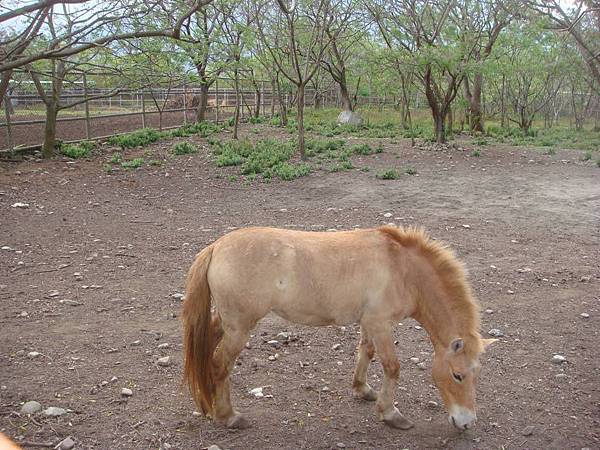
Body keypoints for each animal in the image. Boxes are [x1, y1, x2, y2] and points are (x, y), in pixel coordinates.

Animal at [182, 227, 492, 430]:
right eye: (458, 375)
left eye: (476, 375)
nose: (466, 423)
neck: (403, 270)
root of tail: (216, 247)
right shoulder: (381, 324)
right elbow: (392, 367)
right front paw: (390, 413)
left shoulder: (369, 322)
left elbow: (366, 353)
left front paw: (363, 390)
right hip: (239, 328)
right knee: (220, 365)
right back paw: (229, 416)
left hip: (225, 323)